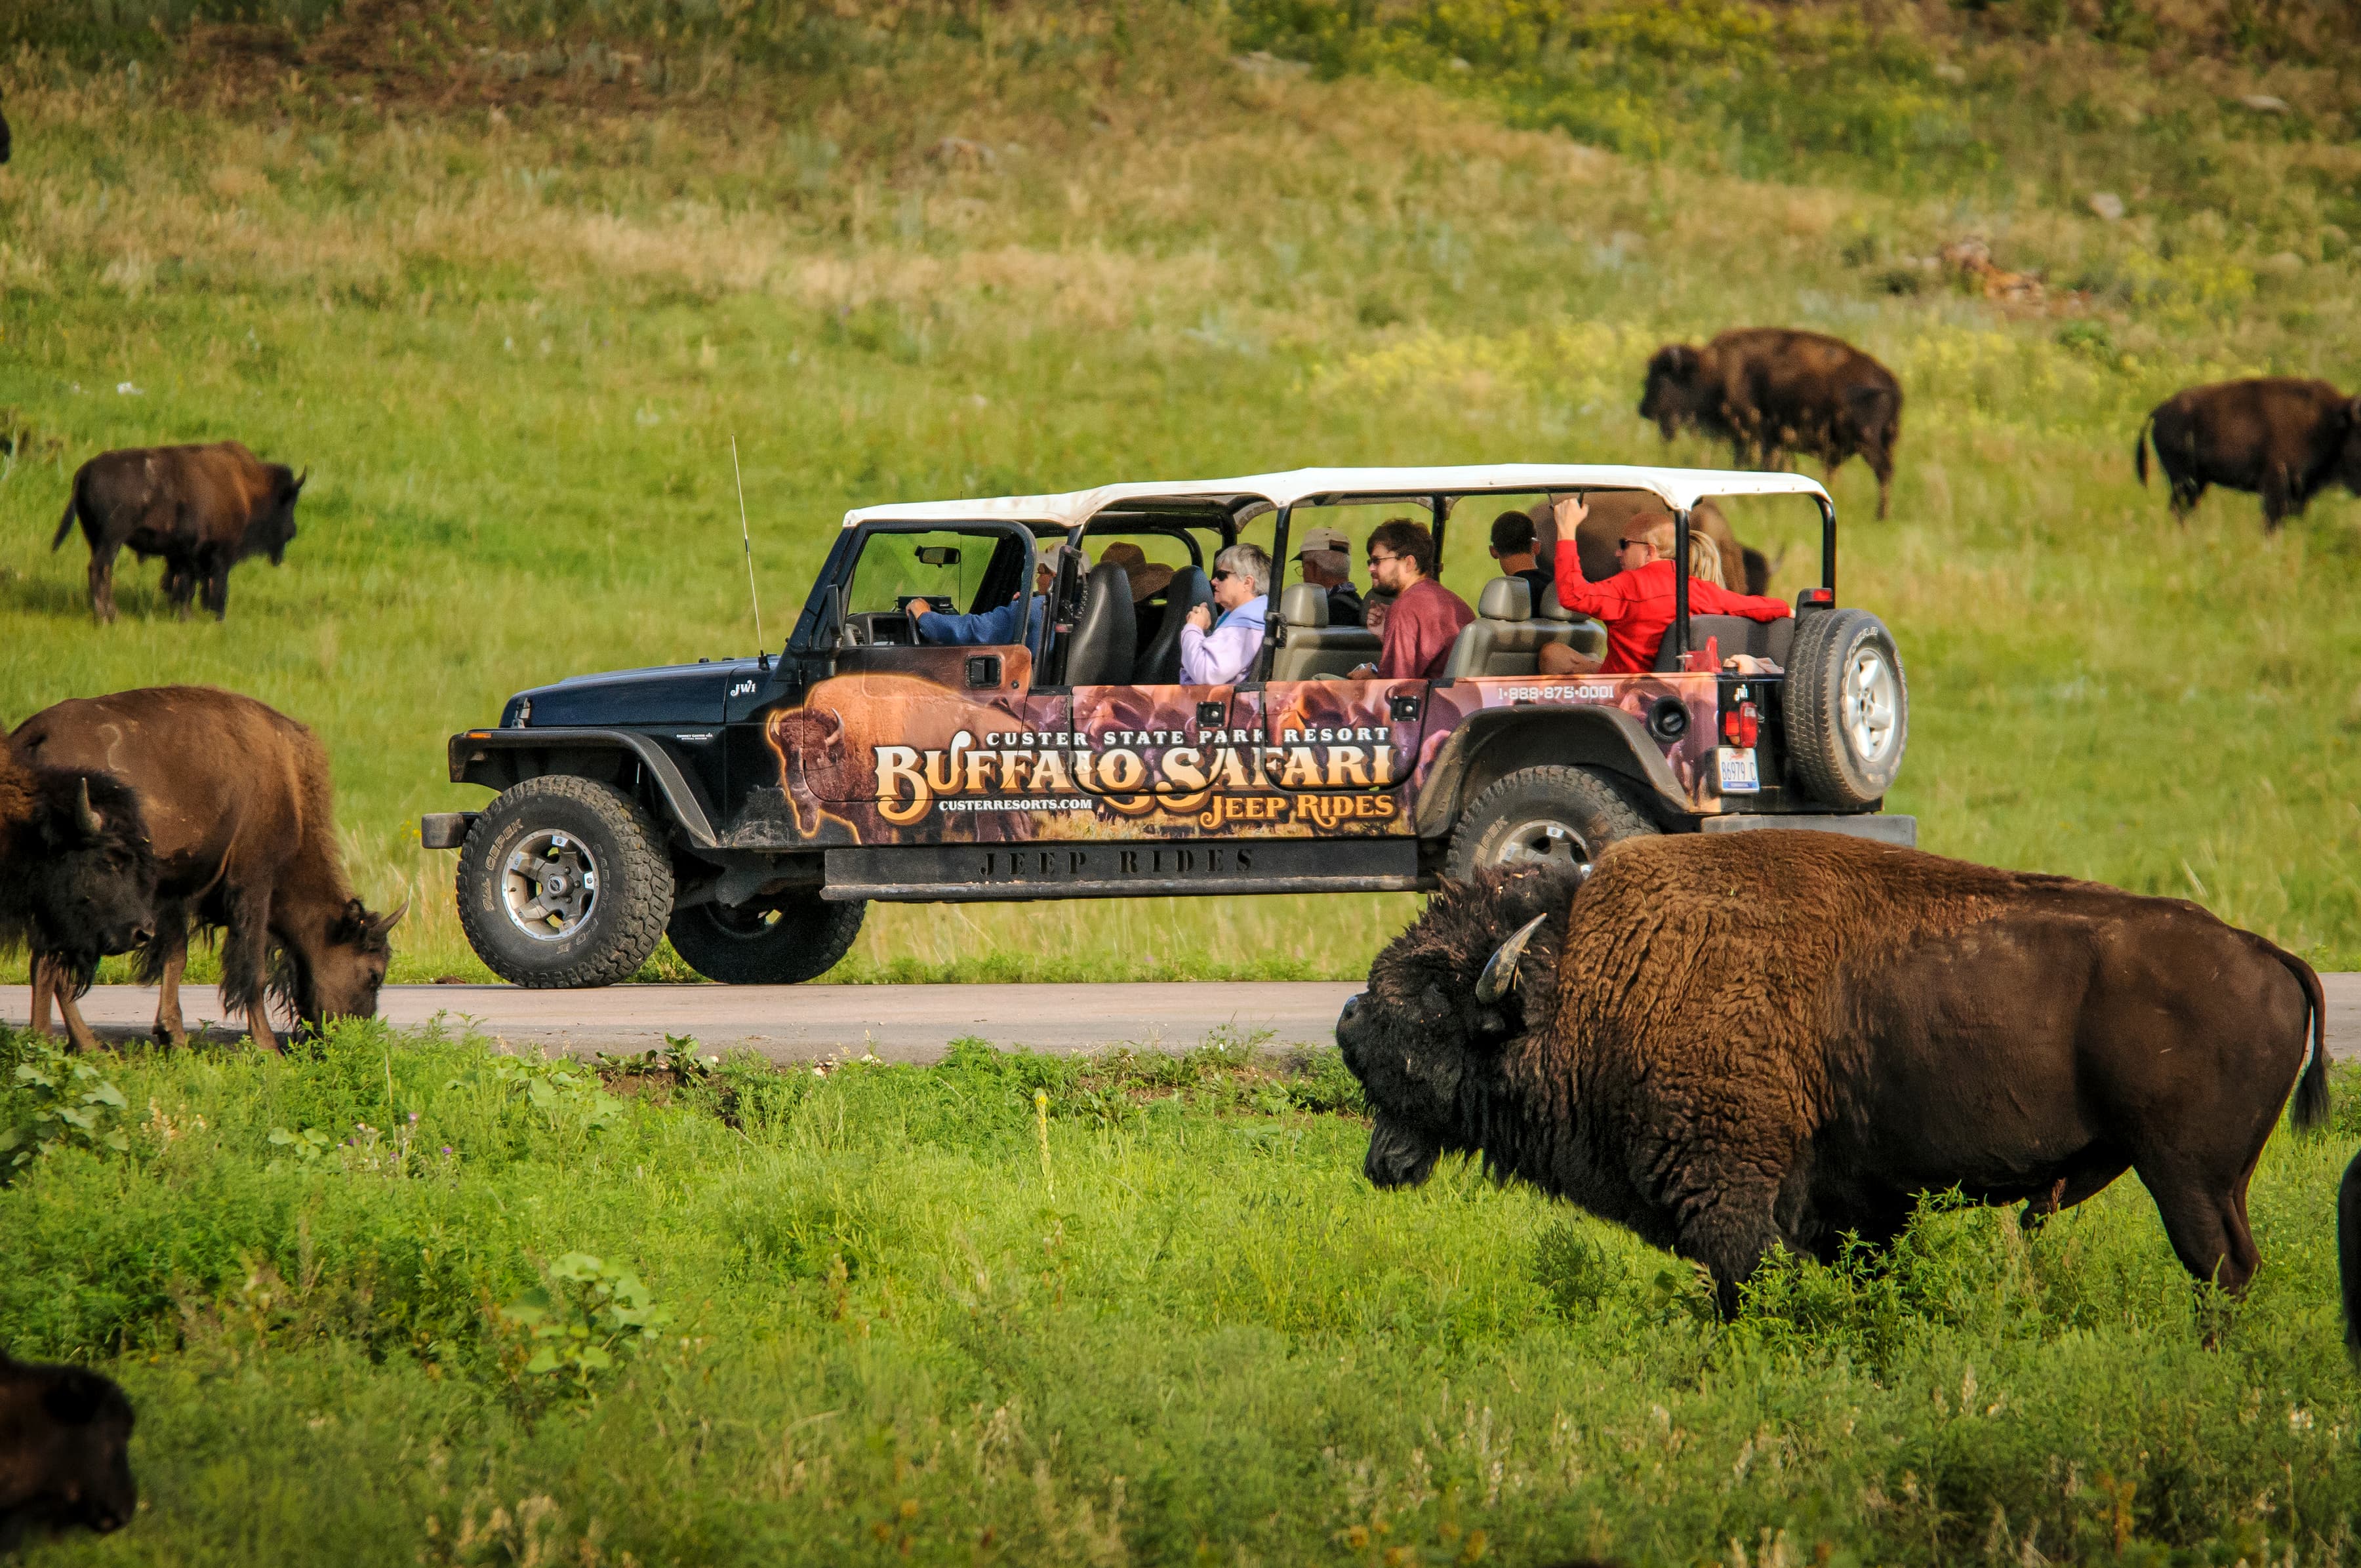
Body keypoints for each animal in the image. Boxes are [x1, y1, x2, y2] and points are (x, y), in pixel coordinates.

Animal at [51, 441, 306, 622]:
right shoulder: (218, 552)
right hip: (111, 539)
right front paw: (213, 617)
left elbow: (183, 583)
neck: (246, 487)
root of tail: (85, 471)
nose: (293, 531)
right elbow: (212, 586)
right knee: (101, 570)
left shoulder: (181, 554)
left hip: (96, 538)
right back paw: (109, 617)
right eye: (289, 501)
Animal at [1337, 832, 2328, 1318]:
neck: (1589, 972)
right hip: (2214, 1180)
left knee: (2218, 1269)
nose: (1347, 1022)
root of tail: (2270, 955)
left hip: (2186, 1176)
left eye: (1434, 998)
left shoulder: (1730, 1200)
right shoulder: (1855, 1208)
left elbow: (1740, 1290)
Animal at [1640, 328, 1902, 519]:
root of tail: (1891, 384)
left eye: (1662, 377)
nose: (1644, 410)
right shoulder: (1767, 440)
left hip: (1868, 441)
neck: (1715, 371)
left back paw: (1881, 516)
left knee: (1883, 472)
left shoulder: (1756, 436)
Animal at [2137, 377, 2361, 530]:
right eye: (2360, 433)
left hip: (2197, 482)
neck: (2329, 423)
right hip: (2183, 480)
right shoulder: (2275, 487)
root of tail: (2158, 412)